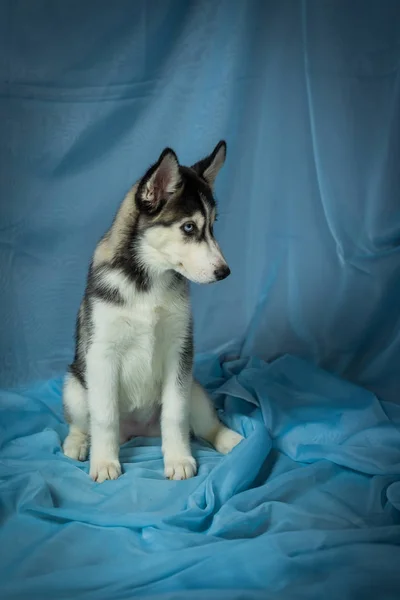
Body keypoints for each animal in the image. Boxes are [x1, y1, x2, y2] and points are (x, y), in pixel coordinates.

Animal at [63, 143, 244, 486]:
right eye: (189, 227)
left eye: (212, 226)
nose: (225, 272)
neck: (148, 282)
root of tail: (138, 432)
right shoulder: (102, 354)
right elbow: (104, 418)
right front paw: (104, 462)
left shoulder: (180, 351)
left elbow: (175, 415)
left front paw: (178, 459)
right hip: (75, 387)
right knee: (82, 422)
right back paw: (78, 443)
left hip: (194, 387)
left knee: (201, 422)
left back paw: (229, 438)